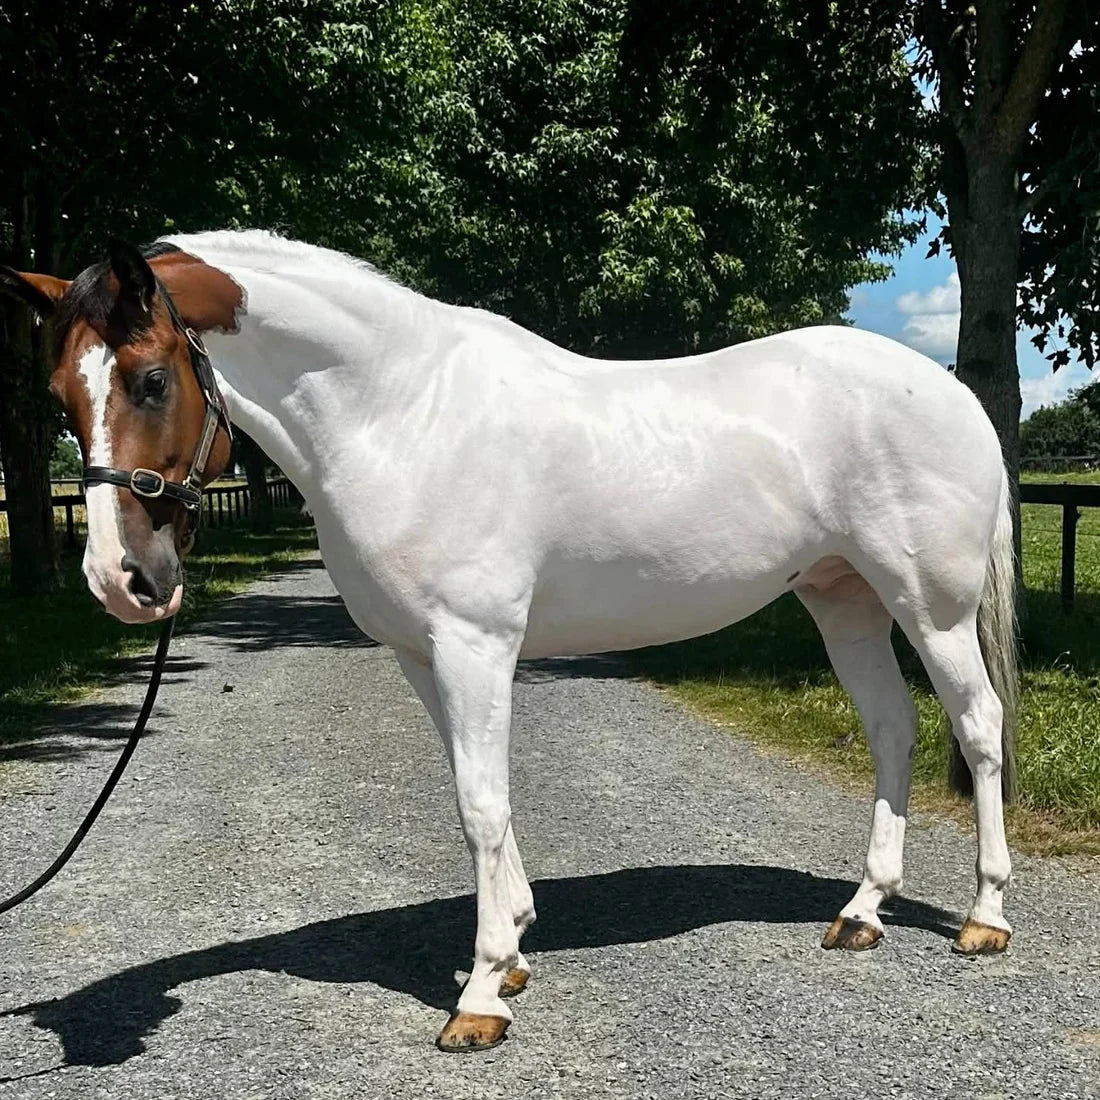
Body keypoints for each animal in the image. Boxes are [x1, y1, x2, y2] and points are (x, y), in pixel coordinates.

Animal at [0, 231, 1017, 1053]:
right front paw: (517, 949)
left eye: (151, 380)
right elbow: (472, 789)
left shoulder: (475, 644)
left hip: (930, 608)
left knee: (977, 727)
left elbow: (481, 803)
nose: (121, 581)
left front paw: (483, 996)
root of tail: (951, 392)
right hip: (843, 601)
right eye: (59, 393)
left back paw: (985, 918)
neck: (400, 412)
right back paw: (862, 914)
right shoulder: (423, 656)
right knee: (892, 729)